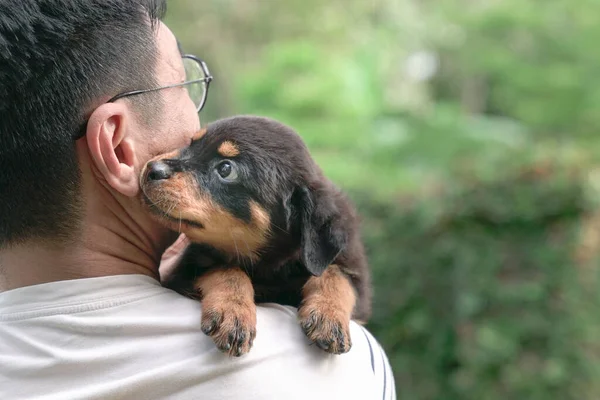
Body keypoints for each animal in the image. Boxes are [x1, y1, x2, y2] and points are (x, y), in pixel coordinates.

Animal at [139, 115, 370, 356]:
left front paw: (329, 317)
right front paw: (233, 314)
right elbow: (226, 268)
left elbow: (336, 274)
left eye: (226, 169)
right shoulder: (183, 272)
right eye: (191, 143)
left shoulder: (355, 275)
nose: (152, 168)